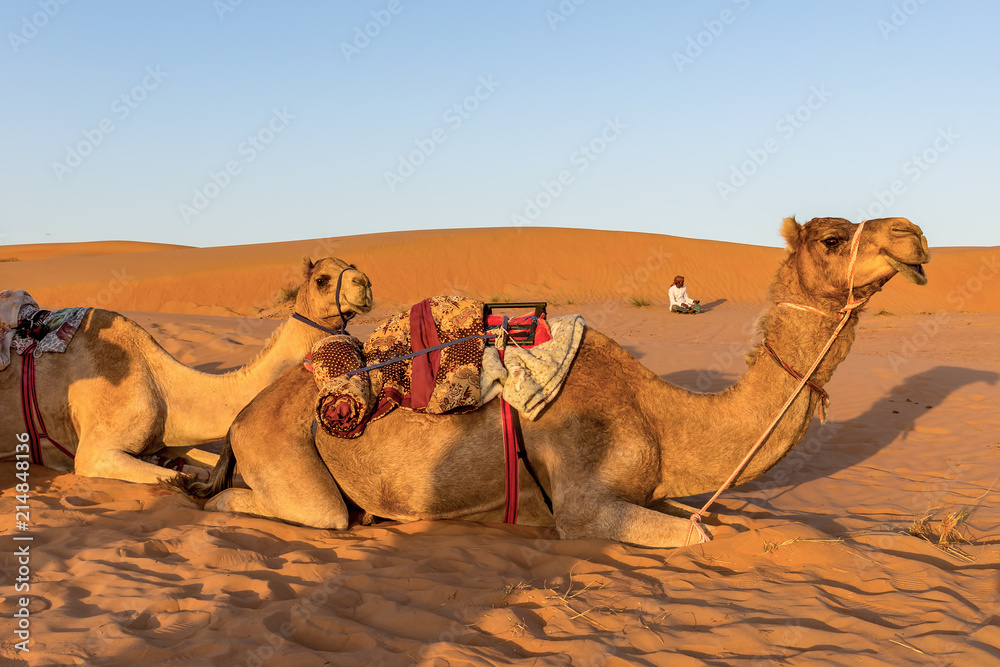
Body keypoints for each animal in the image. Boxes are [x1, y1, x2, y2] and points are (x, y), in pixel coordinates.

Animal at [0, 257, 372, 485]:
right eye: (322, 280)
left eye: (351, 267)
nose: (365, 283)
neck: (162, 386)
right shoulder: (95, 453)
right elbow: (184, 476)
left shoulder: (166, 440)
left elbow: (196, 464)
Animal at [182, 217, 930, 548]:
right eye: (832, 239)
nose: (914, 234)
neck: (661, 418)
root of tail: (241, 419)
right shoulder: (583, 503)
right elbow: (697, 536)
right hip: (290, 458)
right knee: (288, 510)